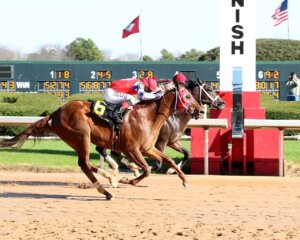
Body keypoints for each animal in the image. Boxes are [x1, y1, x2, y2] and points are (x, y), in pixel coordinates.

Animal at [0, 83, 204, 200]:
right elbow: (146, 169)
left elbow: (167, 160)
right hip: (82, 136)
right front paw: (128, 179)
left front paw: (185, 180)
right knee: (84, 164)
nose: (201, 110)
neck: (147, 116)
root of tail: (55, 113)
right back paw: (108, 189)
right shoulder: (133, 150)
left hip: (80, 139)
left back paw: (109, 181)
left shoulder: (147, 148)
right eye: (187, 96)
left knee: (87, 164)